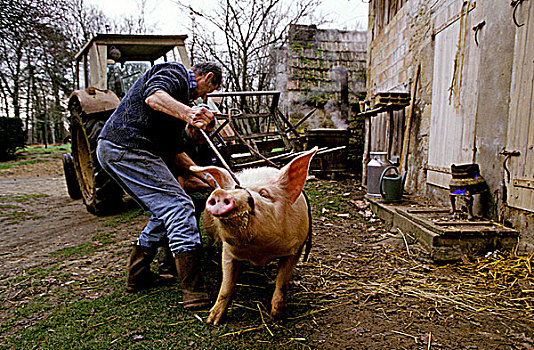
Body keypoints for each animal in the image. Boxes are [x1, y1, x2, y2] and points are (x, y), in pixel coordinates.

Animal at [192, 147, 318, 326]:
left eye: (264, 194)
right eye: (233, 188)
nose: (221, 193)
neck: (259, 252)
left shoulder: (296, 248)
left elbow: (282, 281)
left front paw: (276, 317)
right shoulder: (227, 250)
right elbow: (226, 285)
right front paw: (212, 320)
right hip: (208, 227)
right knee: (210, 242)